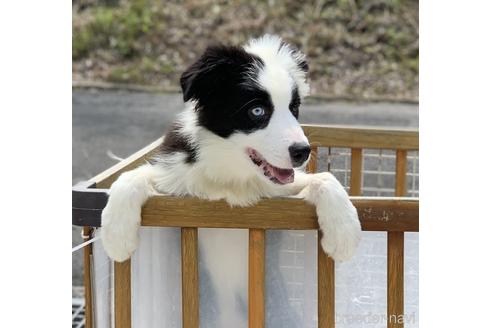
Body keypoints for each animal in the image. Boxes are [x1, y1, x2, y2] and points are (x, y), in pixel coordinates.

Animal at [100, 34, 362, 326]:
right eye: (257, 111)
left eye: (294, 108)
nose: (302, 151)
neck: (232, 176)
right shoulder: (175, 175)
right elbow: (130, 176)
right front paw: (116, 238)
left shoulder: (280, 189)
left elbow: (324, 178)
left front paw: (344, 236)